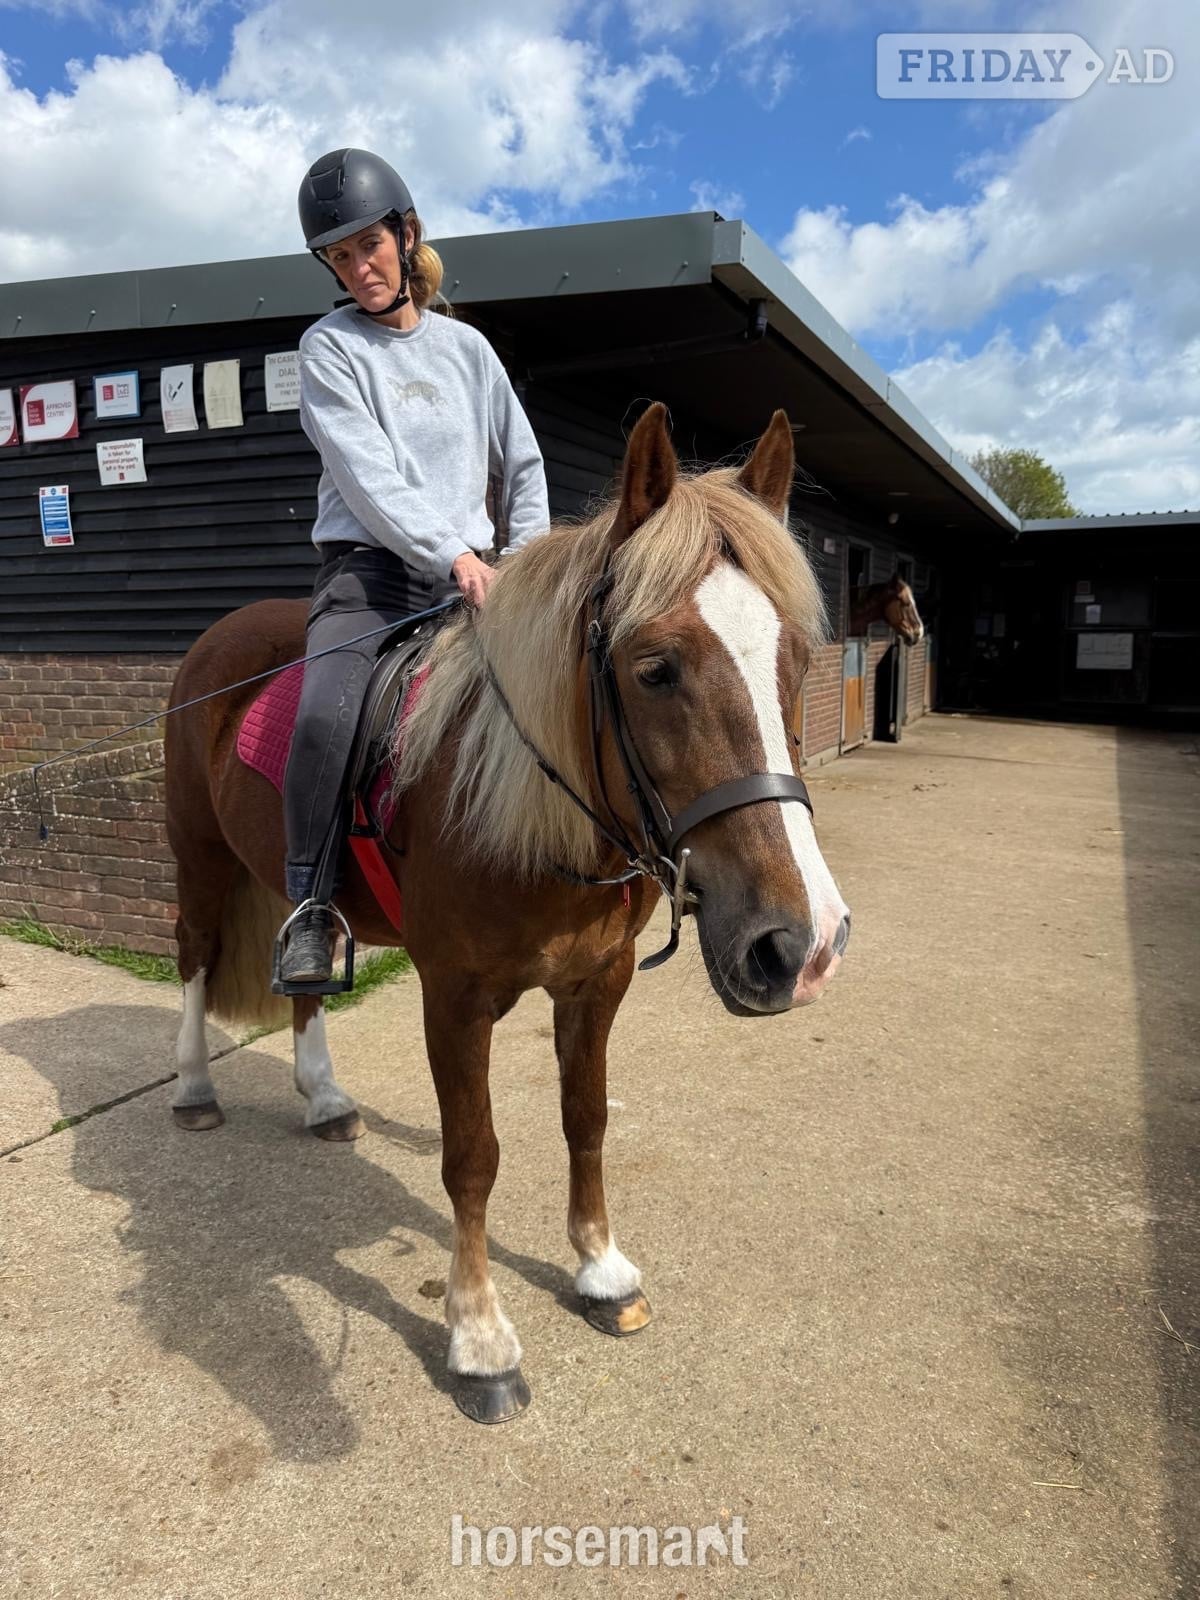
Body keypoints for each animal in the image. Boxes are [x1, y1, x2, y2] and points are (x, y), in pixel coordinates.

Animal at [163, 404, 851, 1423]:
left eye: (796, 660)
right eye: (654, 669)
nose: (800, 946)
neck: (527, 814)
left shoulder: (598, 983)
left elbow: (587, 1118)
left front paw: (602, 1272)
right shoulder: (453, 998)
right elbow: (473, 1156)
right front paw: (480, 1338)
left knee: (304, 978)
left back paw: (325, 1099)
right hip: (200, 860)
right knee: (195, 958)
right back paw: (194, 1091)